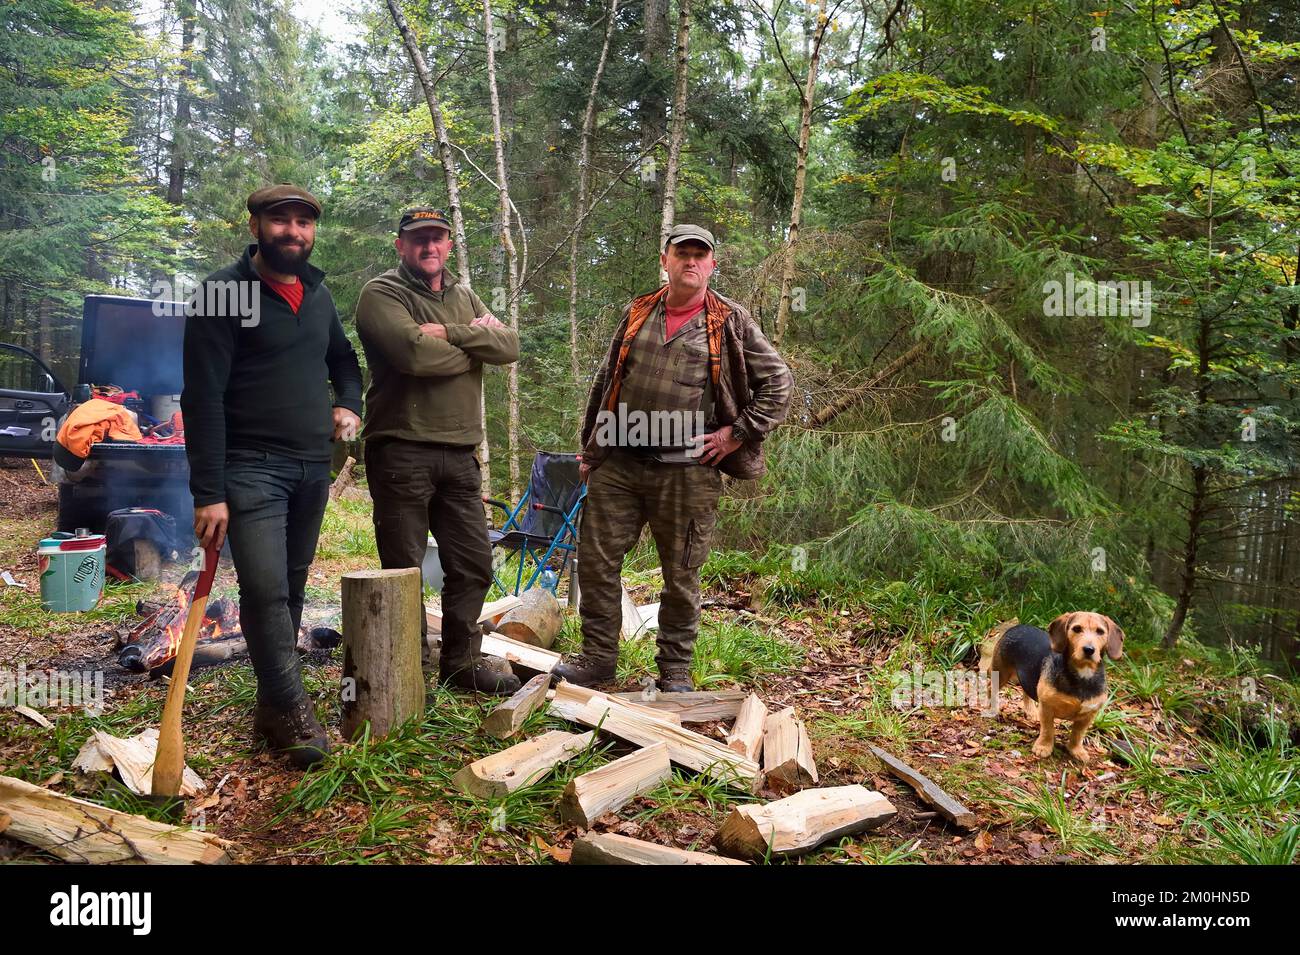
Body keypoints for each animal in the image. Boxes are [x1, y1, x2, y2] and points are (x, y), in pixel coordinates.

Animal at [977, 615, 1123, 764]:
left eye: (1100, 631)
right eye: (1076, 629)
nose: (1089, 649)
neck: (1082, 675)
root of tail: (1017, 626)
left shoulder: (1089, 715)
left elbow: (1078, 734)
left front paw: (1076, 750)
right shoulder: (1047, 707)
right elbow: (1048, 730)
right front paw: (1044, 747)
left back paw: (1031, 712)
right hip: (1001, 673)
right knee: (991, 688)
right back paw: (993, 709)